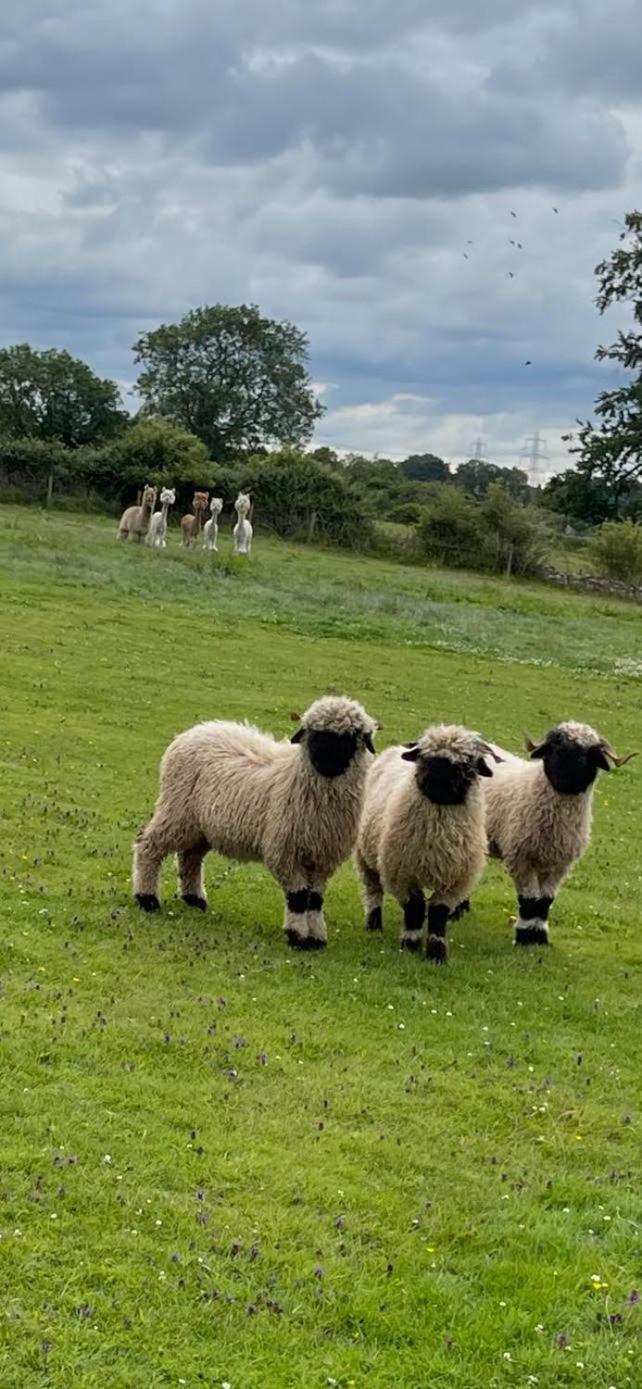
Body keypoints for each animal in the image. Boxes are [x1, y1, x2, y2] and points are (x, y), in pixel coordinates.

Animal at [133, 700, 377, 950]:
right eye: (314, 733)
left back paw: (194, 899)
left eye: (349, 737)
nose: (323, 760)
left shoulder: (322, 859)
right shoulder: (283, 852)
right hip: (177, 811)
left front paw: (316, 938)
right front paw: (298, 936)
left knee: (190, 857)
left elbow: (315, 899)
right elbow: (299, 897)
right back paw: (147, 898)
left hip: (202, 827)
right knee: (149, 844)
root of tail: (194, 731)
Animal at [483, 727, 633, 944]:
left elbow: (545, 901)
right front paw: (525, 937)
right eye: (555, 745)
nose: (565, 777)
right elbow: (529, 900)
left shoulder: (560, 864)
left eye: (590, 753)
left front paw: (539, 938)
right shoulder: (520, 858)